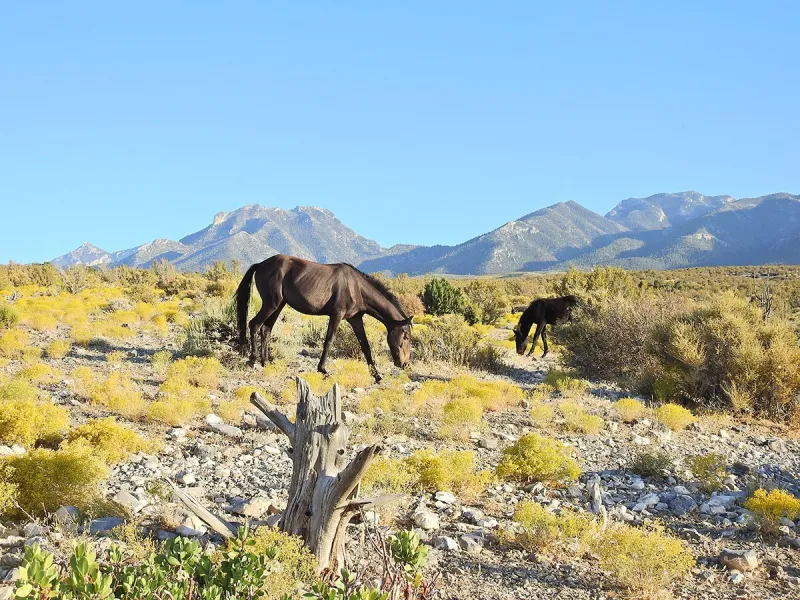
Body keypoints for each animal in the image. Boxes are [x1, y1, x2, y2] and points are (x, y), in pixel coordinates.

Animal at [234, 254, 413, 382]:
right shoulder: (337, 315)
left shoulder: (355, 319)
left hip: (279, 305)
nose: (404, 363)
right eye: (406, 336)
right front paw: (323, 370)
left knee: (266, 329)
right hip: (271, 304)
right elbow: (328, 341)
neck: (356, 287)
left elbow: (365, 346)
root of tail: (261, 264)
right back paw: (253, 360)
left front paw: (377, 376)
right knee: (254, 324)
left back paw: (266, 362)